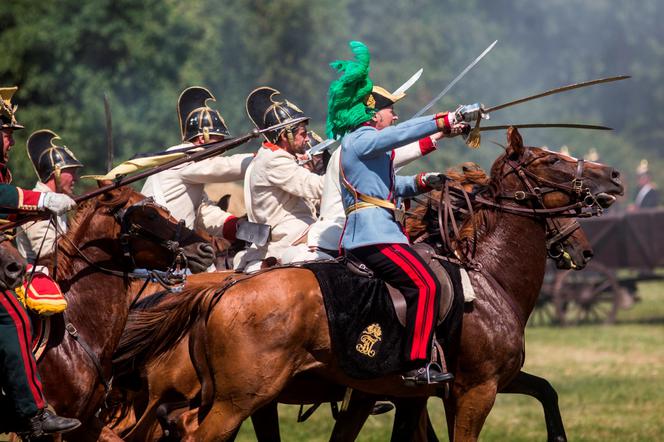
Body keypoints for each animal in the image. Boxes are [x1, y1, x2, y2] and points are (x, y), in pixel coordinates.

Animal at [115, 126, 624, 440]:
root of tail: (222, 290)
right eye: (551, 161)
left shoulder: (433, 392)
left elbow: (547, 391)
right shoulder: (474, 391)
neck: (484, 276)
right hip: (237, 401)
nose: (615, 177)